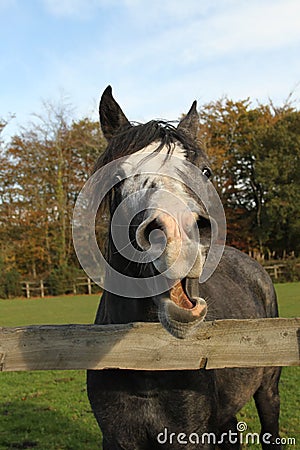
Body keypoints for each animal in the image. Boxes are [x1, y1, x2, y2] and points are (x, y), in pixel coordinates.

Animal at [86, 86, 282, 448]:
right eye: (117, 176)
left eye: (205, 171)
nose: (181, 231)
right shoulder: (118, 437)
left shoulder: (188, 434)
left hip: (268, 390)